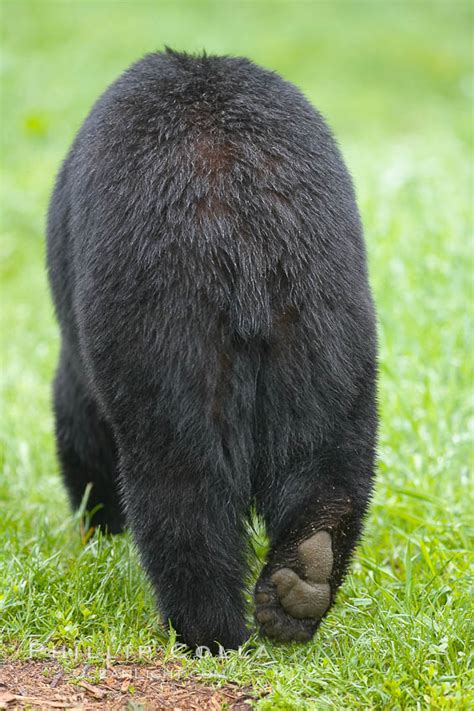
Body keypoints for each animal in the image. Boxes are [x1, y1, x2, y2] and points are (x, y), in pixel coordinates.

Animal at [45, 48, 378, 652]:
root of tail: (241, 216)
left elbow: (80, 420)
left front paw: (98, 519)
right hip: (323, 311)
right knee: (332, 443)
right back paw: (304, 577)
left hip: (164, 313)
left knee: (181, 473)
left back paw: (209, 629)